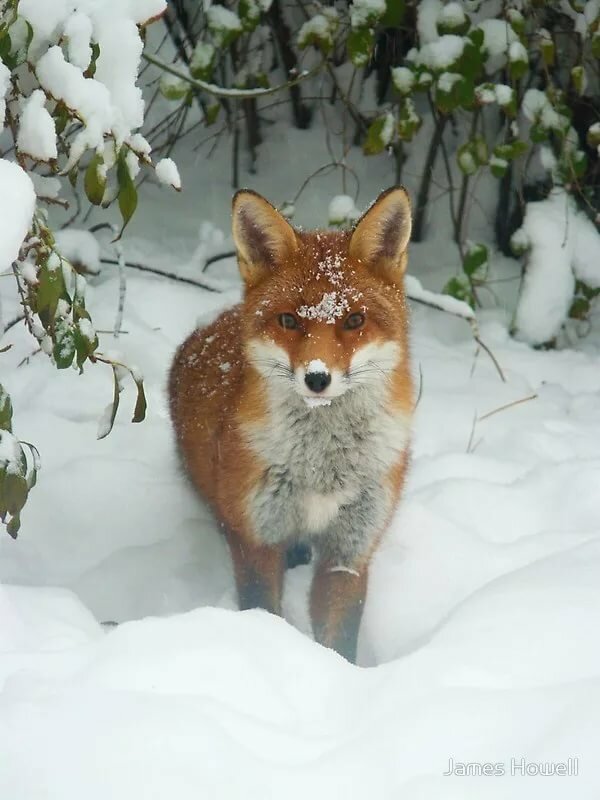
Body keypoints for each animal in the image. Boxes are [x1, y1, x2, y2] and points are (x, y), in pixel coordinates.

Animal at [168, 186, 414, 663]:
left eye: (354, 320)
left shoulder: (349, 550)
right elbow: (264, 614)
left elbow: (340, 637)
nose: (317, 378)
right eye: (289, 321)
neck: (322, 469)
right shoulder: (257, 540)